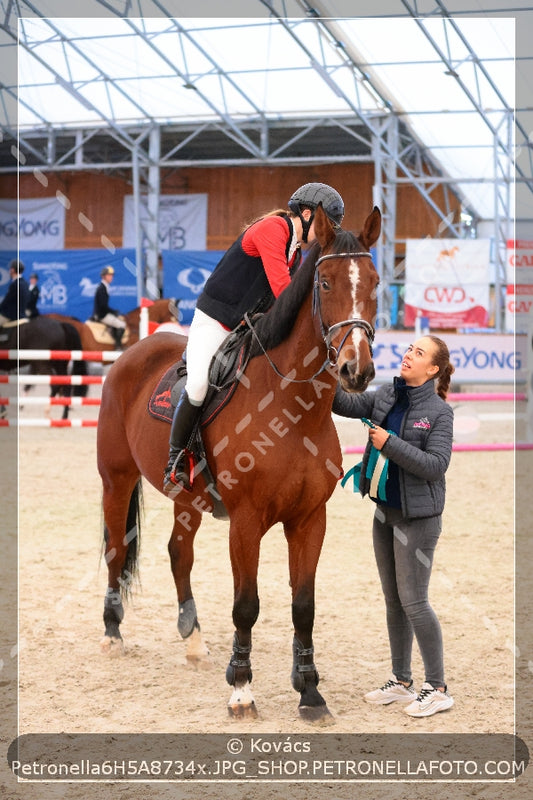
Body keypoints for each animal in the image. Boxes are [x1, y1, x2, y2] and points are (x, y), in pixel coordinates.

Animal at [95, 203, 378, 720]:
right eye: (326, 283)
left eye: (375, 282)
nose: (356, 370)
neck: (291, 408)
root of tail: (133, 352)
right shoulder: (246, 522)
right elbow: (246, 605)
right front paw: (242, 689)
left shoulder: (309, 519)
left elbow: (303, 605)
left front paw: (310, 691)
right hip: (116, 478)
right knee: (117, 551)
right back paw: (112, 632)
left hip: (186, 495)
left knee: (178, 553)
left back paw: (193, 640)